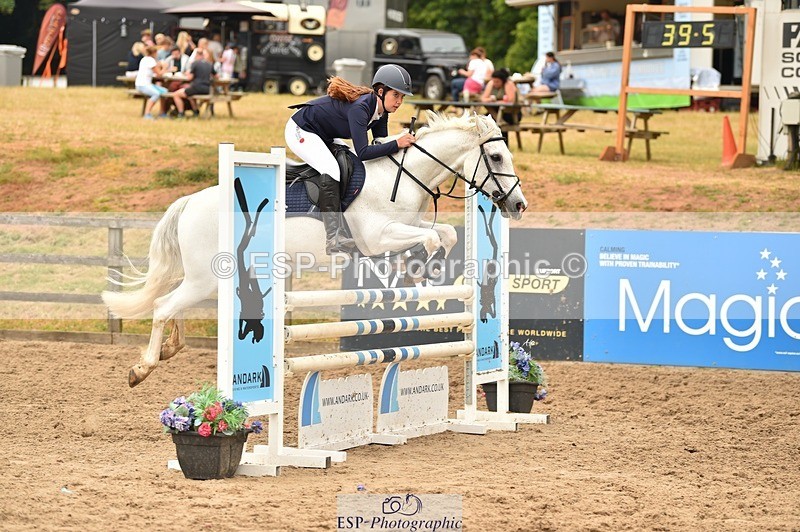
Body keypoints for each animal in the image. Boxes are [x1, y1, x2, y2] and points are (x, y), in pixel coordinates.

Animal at [102, 111, 528, 387]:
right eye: (495, 157)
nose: (518, 205)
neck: (403, 177)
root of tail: (190, 201)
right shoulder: (378, 237)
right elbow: (431, 240)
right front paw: (415, 272)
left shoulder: (406, 226)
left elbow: (445, 235)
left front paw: (419, 270)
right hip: (206, 278)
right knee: (163, 306)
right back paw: (142, 368)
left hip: (208, 278)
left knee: (172, 303)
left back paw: (170, 348)